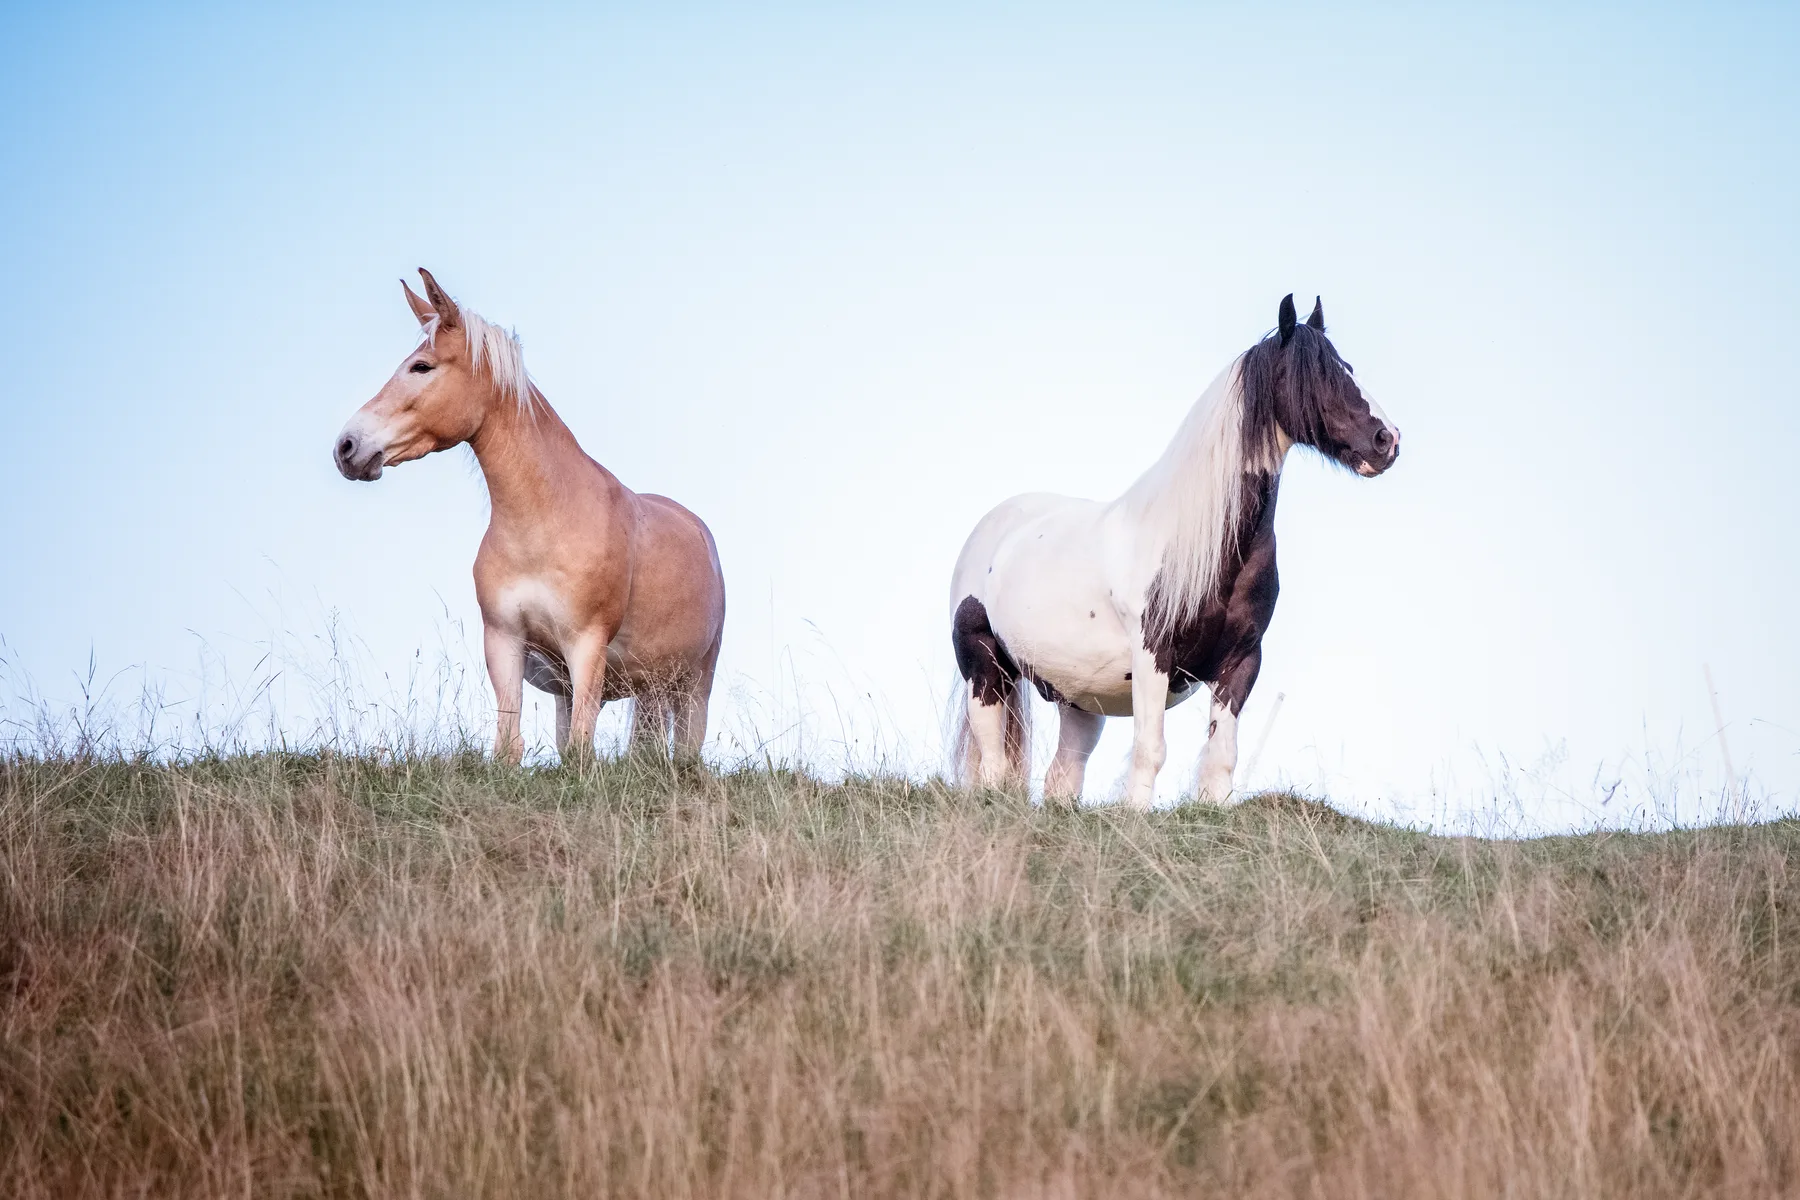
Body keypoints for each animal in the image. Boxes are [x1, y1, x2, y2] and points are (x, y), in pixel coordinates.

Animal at [333, 269, 726, 764]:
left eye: (421, 367)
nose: (347, 447)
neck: (544, 524)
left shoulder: (586, 646)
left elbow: (580, 750)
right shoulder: (505, 642)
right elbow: (510, 744)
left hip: (693, 686)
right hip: (641, 690)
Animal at [948, 294, 1400, 808]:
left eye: (1348, 368)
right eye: (1319, 374)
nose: (1388, 440)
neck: (1209, 546)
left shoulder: (1241, 661)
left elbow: (1222, 755)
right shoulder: (1153, 657)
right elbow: (1151, 749)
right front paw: (1135, 815)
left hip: (1079, 700)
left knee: (1062, 776)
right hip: (984, 669)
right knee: (993, 765)